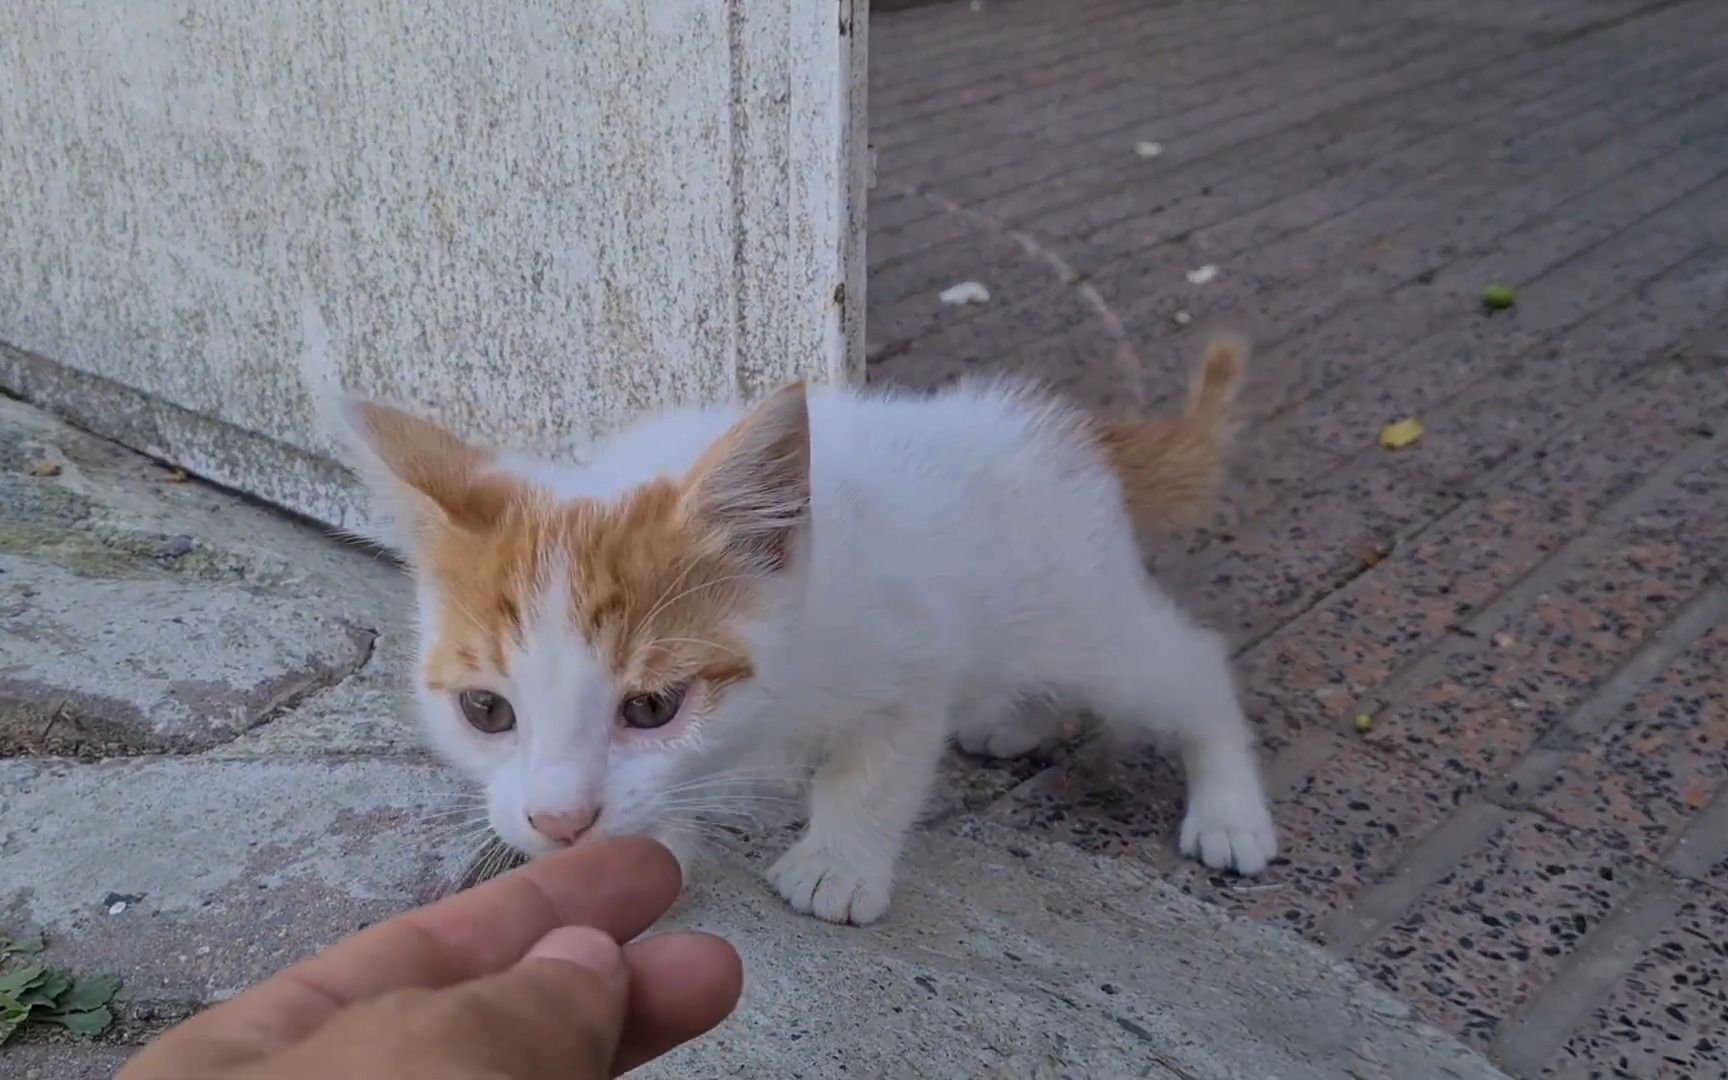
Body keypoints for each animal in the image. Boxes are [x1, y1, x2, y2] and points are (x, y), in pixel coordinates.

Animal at [343, 338, 1278, 926]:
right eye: (486, 712)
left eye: (652, 708)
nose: (561, 821)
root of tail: (1071, 434)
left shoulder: (908, 649)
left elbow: (877, 770)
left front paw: (838, 865)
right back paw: (1014, 722)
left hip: (1084, 619)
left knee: (1187, 664)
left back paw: (1231, 810)